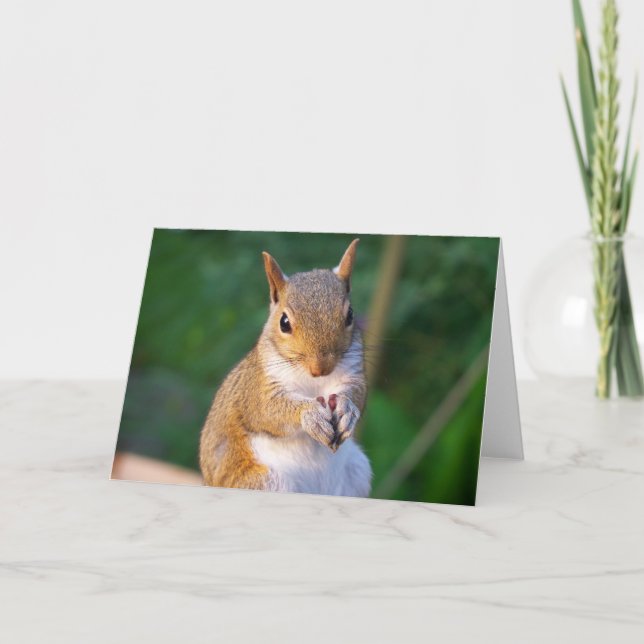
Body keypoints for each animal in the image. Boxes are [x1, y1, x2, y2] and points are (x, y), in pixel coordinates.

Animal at [199, 239, 372, 497]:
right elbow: (267, 410)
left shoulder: (353, 371)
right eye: (284, 322)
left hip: (357, 473)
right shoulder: (258, 385)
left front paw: (347, 408)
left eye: (350, 315)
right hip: (262, 481)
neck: (314, 382)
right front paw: (309, 415)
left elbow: (358, 394)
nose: (321, 368)